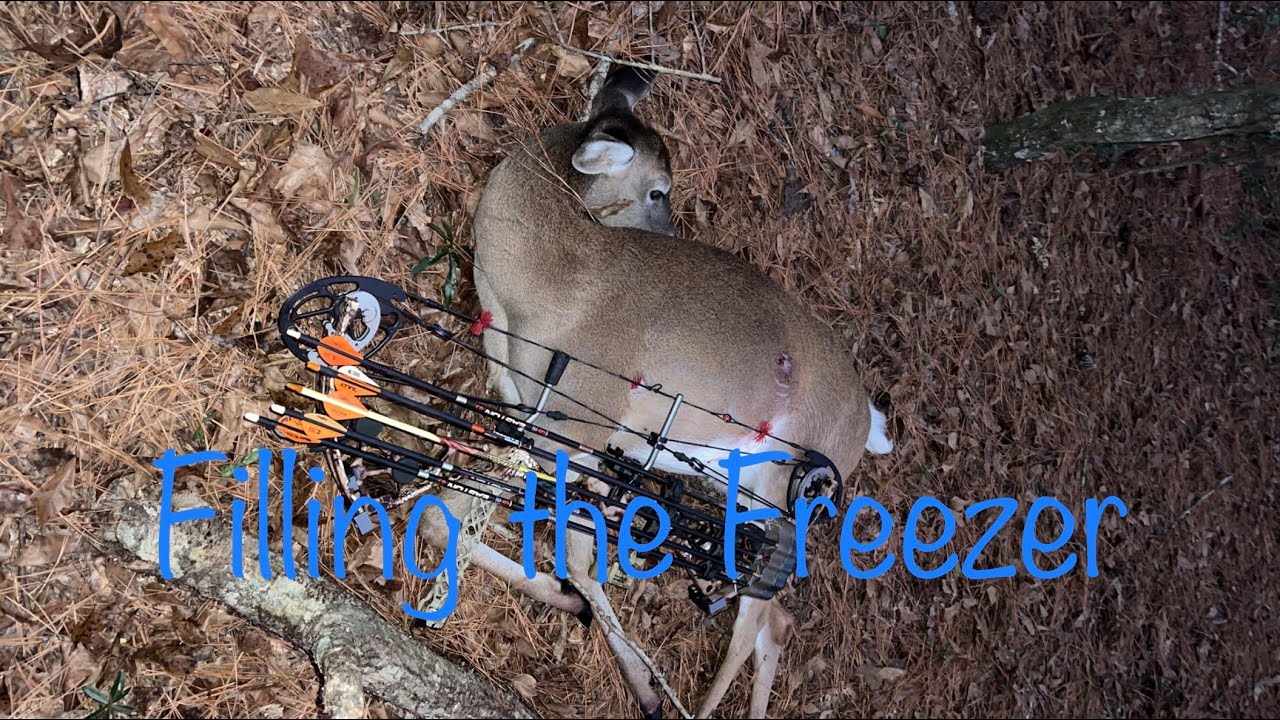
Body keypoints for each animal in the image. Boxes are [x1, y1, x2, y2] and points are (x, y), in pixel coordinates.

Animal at [468, 67, 894, 718]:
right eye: (658, 191)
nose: (674, 233)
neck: (541, 280)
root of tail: (868, 422)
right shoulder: (524, 396)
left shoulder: (582, 407)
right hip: (740, 481)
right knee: (775, 617)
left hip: (790, 489)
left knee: (759, 612)